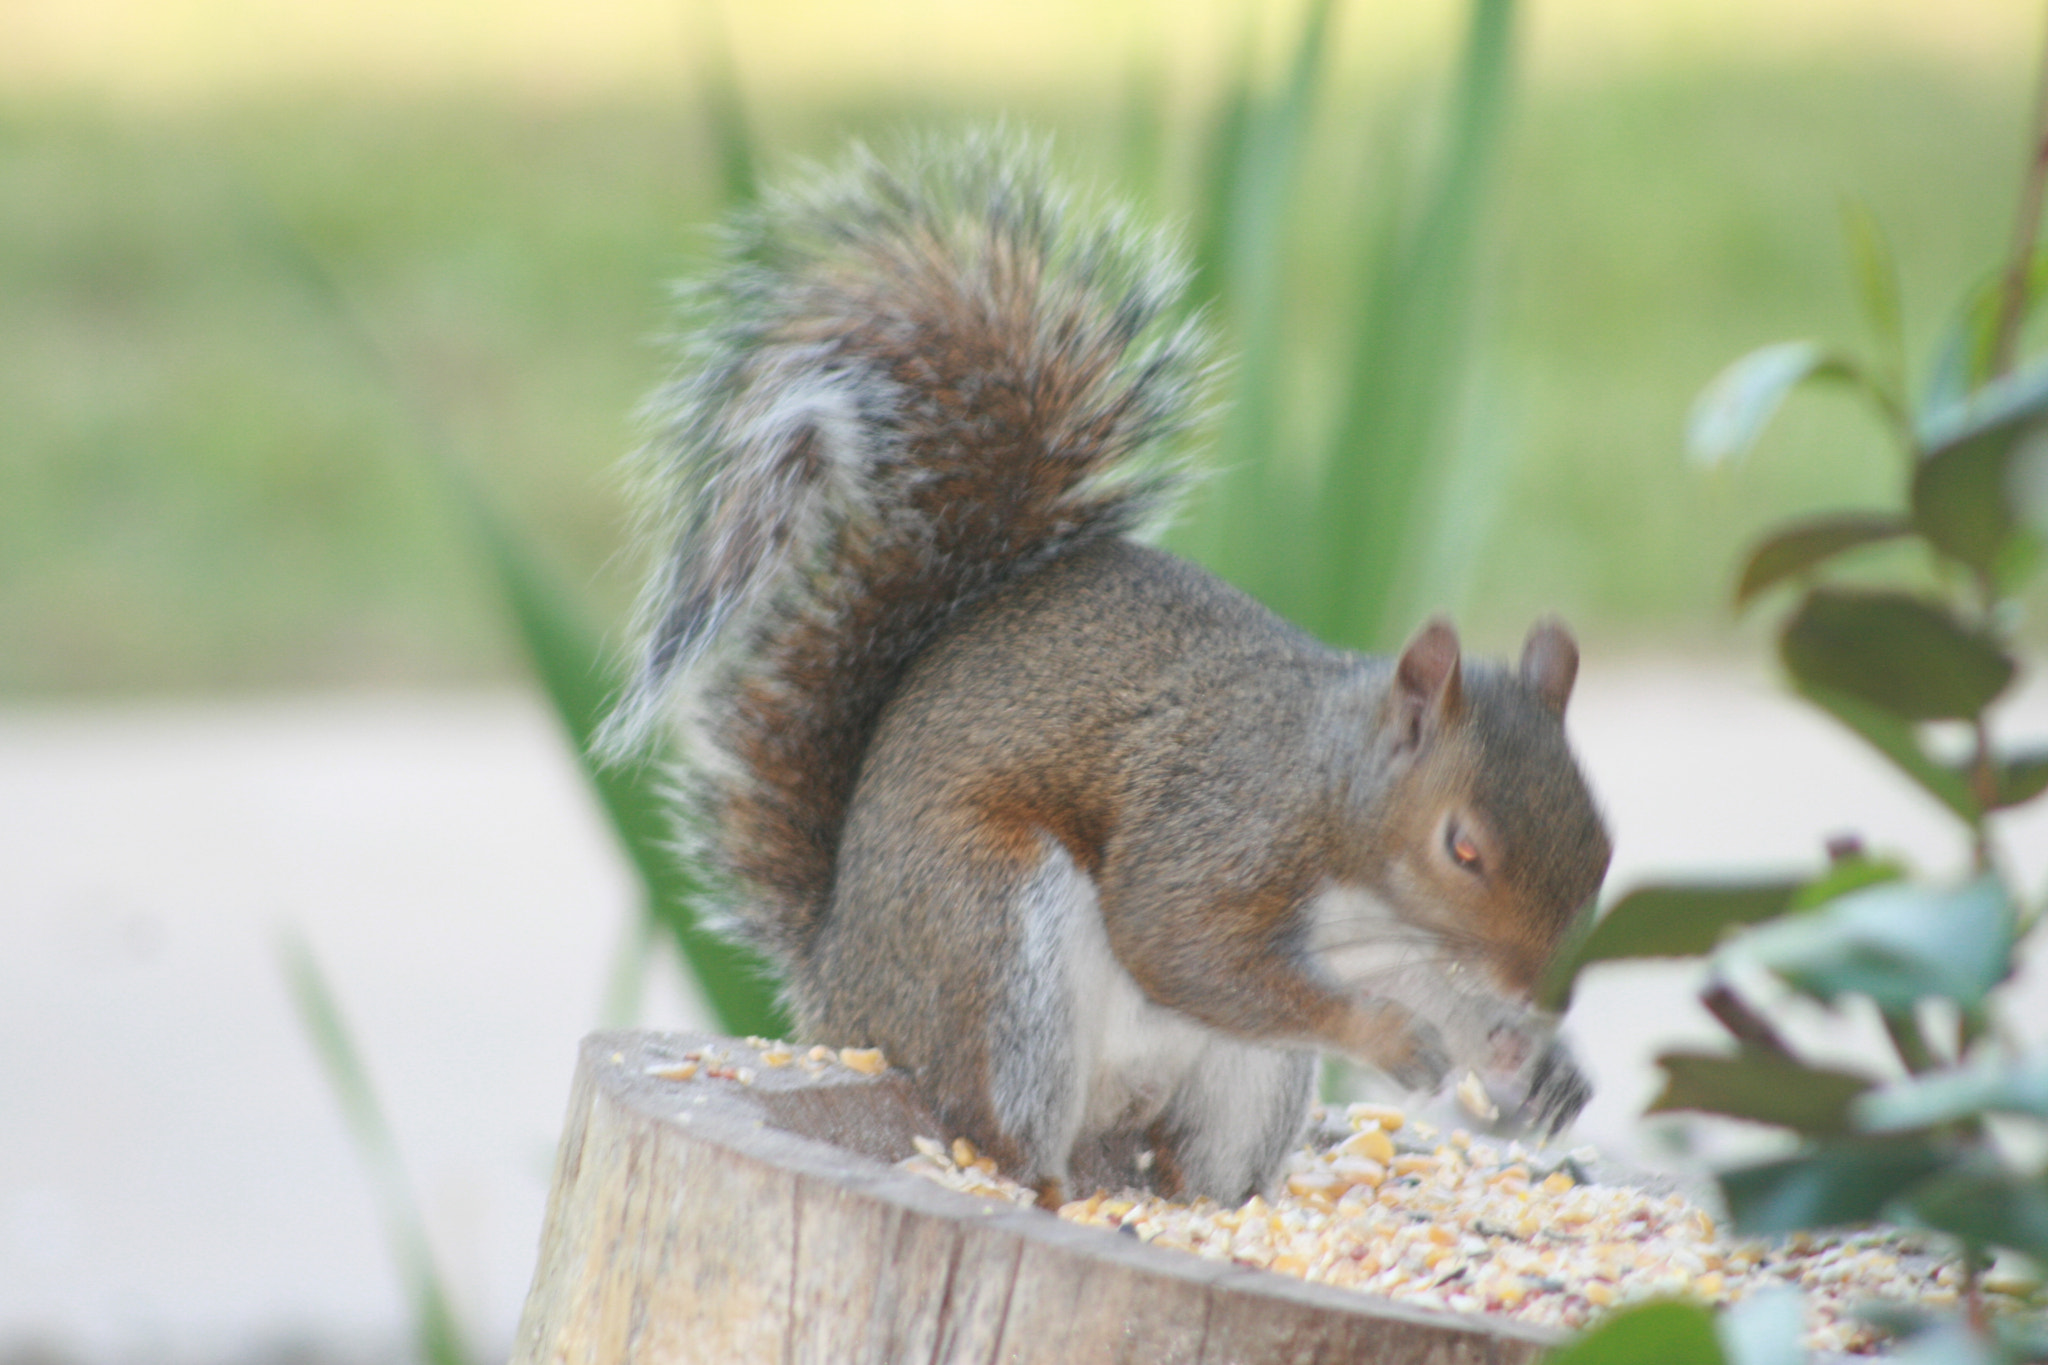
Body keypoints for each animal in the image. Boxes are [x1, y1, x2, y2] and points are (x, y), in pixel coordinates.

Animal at [609, 133, 1613, 1207]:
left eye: (1604, 842)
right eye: (1462, 848)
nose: (1547, 991)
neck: (1336, 804)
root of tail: (841, 986)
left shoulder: (1392, 948)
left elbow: (1430, 989)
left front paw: (1534, 1061)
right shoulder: (1219, 830)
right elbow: (1177, 942)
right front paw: (1388, 1036)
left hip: (1245, 1078)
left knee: (1199, 1159)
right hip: (999, 939)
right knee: (1002, 1127)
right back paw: (1054, 1191)